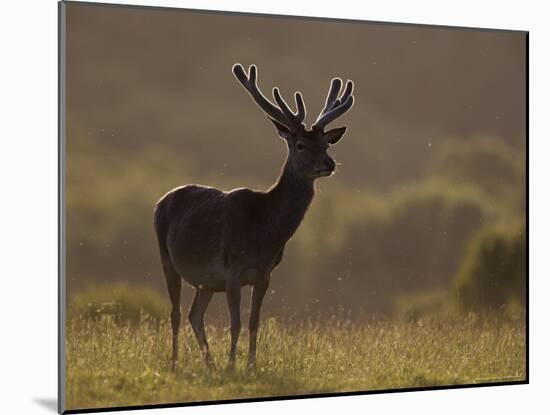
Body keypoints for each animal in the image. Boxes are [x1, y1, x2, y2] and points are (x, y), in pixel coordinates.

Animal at [153, 63, 356, 372]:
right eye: (299, 144)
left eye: (326, 144)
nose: (329, 163)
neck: (264, 232)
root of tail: (161, 200)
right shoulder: (233, 270)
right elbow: (235, 323)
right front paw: (232, 366)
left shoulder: (265, 274)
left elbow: (253, 322)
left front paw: (249, 366)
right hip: (168, 260)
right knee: (176, 313)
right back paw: (176, 364)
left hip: (205, 280)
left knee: (194, 314)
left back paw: (209, 365)